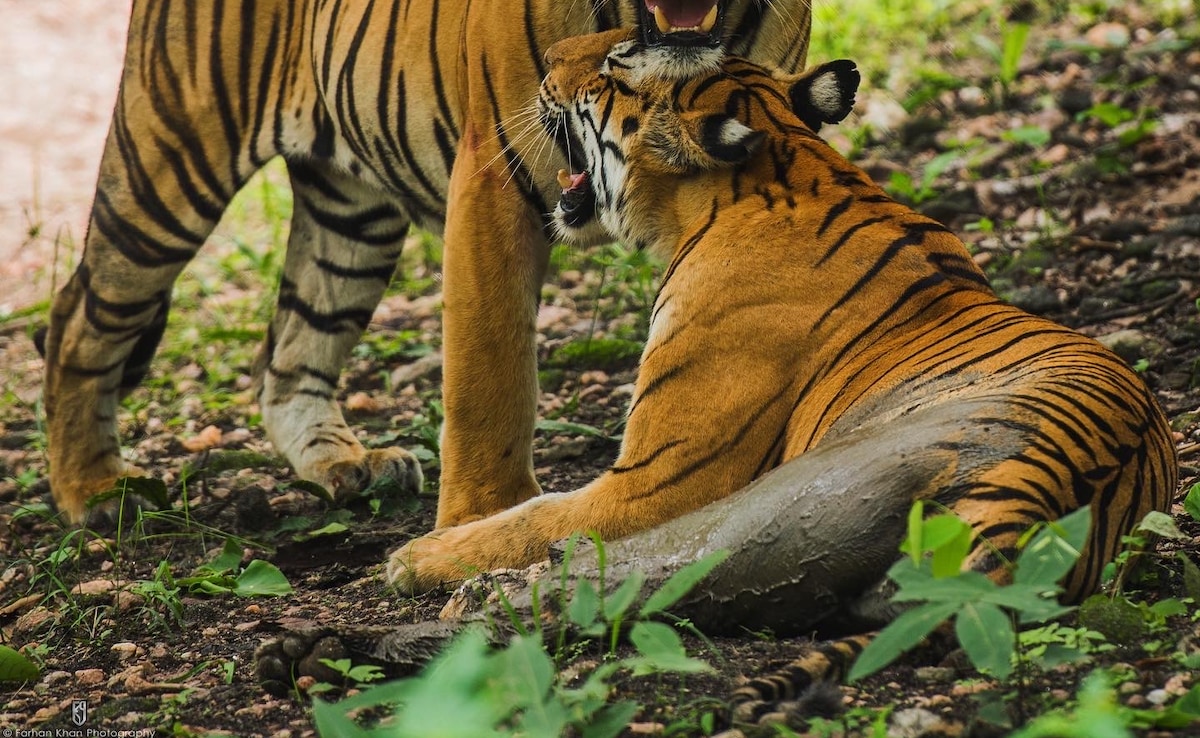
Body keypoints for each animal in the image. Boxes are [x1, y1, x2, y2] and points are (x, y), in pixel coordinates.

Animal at [36, 0, 816, 526]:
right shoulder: (494, 175)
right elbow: (488, 375)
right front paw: (488, 515)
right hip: (172, 158)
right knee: (78, 315)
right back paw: (95, 490)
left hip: (349, 218)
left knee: (288, 353)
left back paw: (344, 464)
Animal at [384, 29, 1178, 712]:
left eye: (612, 66)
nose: (547, 57)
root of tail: (1043, 490)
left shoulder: (652, 481)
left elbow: (531, 517)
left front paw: (414, 555)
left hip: (779, 504)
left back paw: (459, 600)